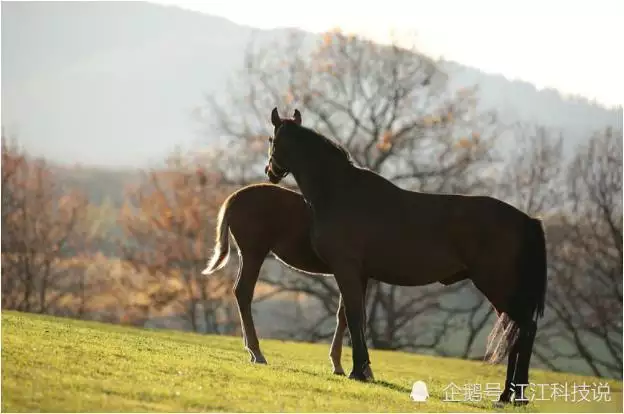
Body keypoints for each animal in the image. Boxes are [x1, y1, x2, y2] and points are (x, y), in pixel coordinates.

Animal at [201, 183, 360, 376]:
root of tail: (233, 199)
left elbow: (343, 312)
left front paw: (339, 364)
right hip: (254, 251)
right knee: (244, 291)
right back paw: (257, 352)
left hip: (246, 253)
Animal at [266, 106, 548, 404]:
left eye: (271, 139)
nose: (269, 172)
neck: (339, 192)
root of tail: (526, 220)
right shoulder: (360, 274)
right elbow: (356, 318)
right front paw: (363, 369)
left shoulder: (345, 269)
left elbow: (352, 317)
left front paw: (357, 371)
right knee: (517, 333)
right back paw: (510, 395)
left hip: (497, 286)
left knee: (523, 330)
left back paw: (512, 395)